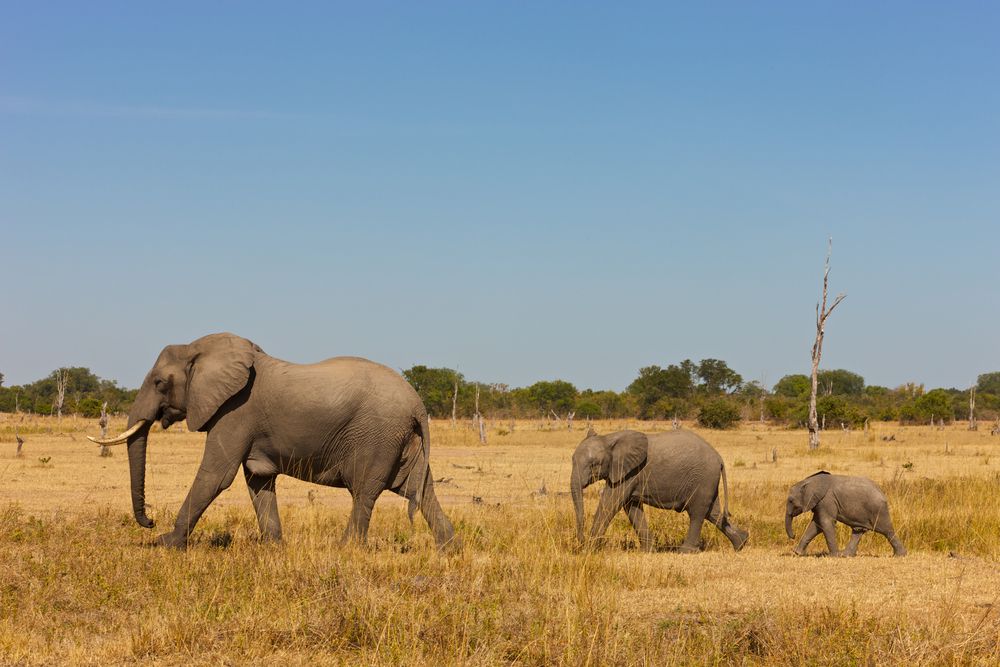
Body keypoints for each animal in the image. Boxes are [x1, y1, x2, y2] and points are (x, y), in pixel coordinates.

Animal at [90, 332, 458, 552]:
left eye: (159, 383)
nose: (150, 521)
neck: (201, 349)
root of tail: (417, 403)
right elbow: (258, 480)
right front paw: (272, 547)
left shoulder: (236, 411)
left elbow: (216, 475)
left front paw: (167, 544)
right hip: (402, 440)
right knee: (418, 489)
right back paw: (448, 547)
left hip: (377, 435)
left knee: (366, 491)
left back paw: (345, 549)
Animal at [572, 428, 752, 552]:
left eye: (594, 464)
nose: (580, 543)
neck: (608, 438)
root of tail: (719, 458)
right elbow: (631, 507)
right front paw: (648, 551)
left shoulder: (629, 472)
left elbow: (611, 501)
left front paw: (590, 549)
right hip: (707, 480)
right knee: (713, 512)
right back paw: (741, 543)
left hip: (704, 477)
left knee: (697, 512)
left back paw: (685, 551)